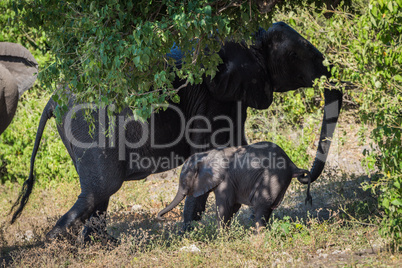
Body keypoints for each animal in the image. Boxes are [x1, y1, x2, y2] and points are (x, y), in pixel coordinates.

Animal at [159, 141, 312, 229]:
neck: (206, 155)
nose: (160, 217)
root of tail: (291, 164)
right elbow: (233, 207)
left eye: (184, 181)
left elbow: (224, 207)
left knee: (262, 206)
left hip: (273, 177)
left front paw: (221, 239)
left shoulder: (225, 181)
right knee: (268, 208)